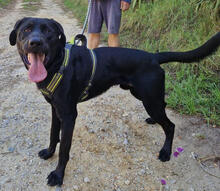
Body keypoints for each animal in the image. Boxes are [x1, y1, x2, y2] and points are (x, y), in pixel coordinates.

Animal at [9, 17, 219, 186]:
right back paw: (153, 121)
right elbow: (53, 135)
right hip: (144, 96)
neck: (59, 64)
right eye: (26, 29)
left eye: (48, 32)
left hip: (149, 99)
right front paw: (48, 152)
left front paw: (58, 175)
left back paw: (166, 152)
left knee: (170, 125)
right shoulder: (55, 110)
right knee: (164, 108)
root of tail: (153, 56)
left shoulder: (69, 116)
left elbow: (64, 150)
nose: (35, 42)